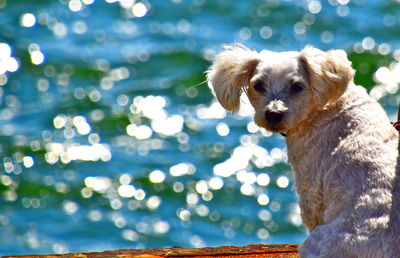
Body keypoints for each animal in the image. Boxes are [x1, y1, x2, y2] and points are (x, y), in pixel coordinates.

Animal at [206, 43, 400, 256]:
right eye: (258, 86)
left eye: (297, 87)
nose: (273, 114)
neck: (322, 110)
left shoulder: (310, 189)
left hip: (319, 241)